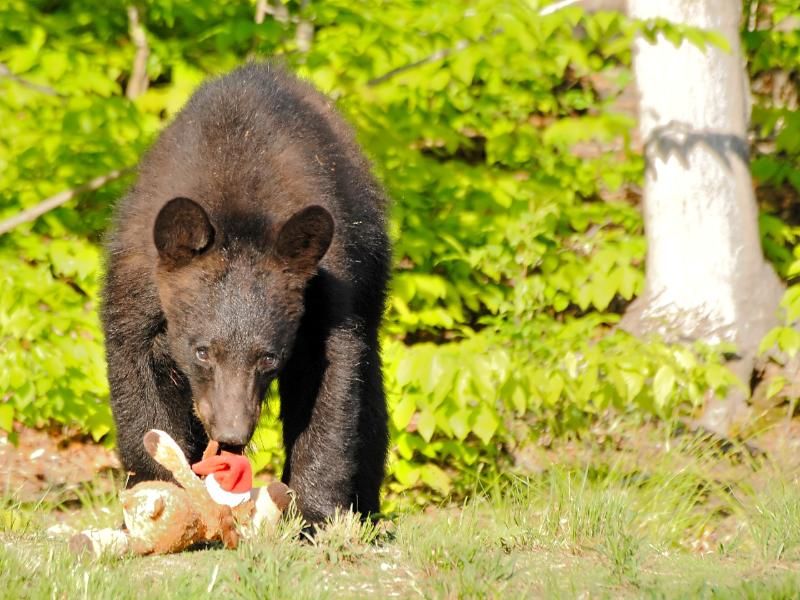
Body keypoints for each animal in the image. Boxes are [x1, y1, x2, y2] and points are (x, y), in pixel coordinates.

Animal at [101, 62, 390, 524]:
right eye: (202, 351)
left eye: (268, 357)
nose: (232, 434)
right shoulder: (138, 285)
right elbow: (139, 387)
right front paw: (160, 497)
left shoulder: (329, 293)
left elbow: (333, 390)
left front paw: (313, 514)